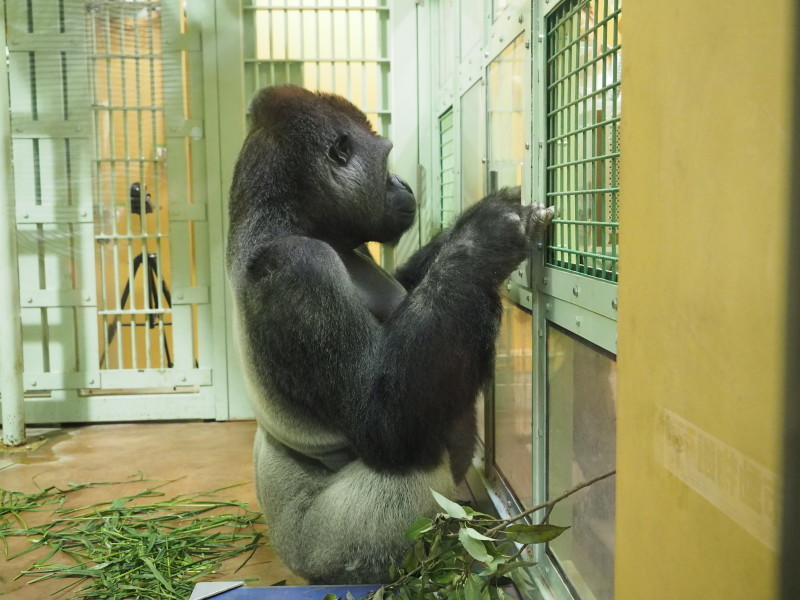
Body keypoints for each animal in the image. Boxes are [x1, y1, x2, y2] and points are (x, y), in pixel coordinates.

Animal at [223, 86, 552, 584]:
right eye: (386, 159)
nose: (403, 182)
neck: (289, 217)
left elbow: (417, 286)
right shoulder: (297, 267)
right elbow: (383, 419)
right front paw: (487, 236)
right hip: (328, 555)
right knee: (412, 470)